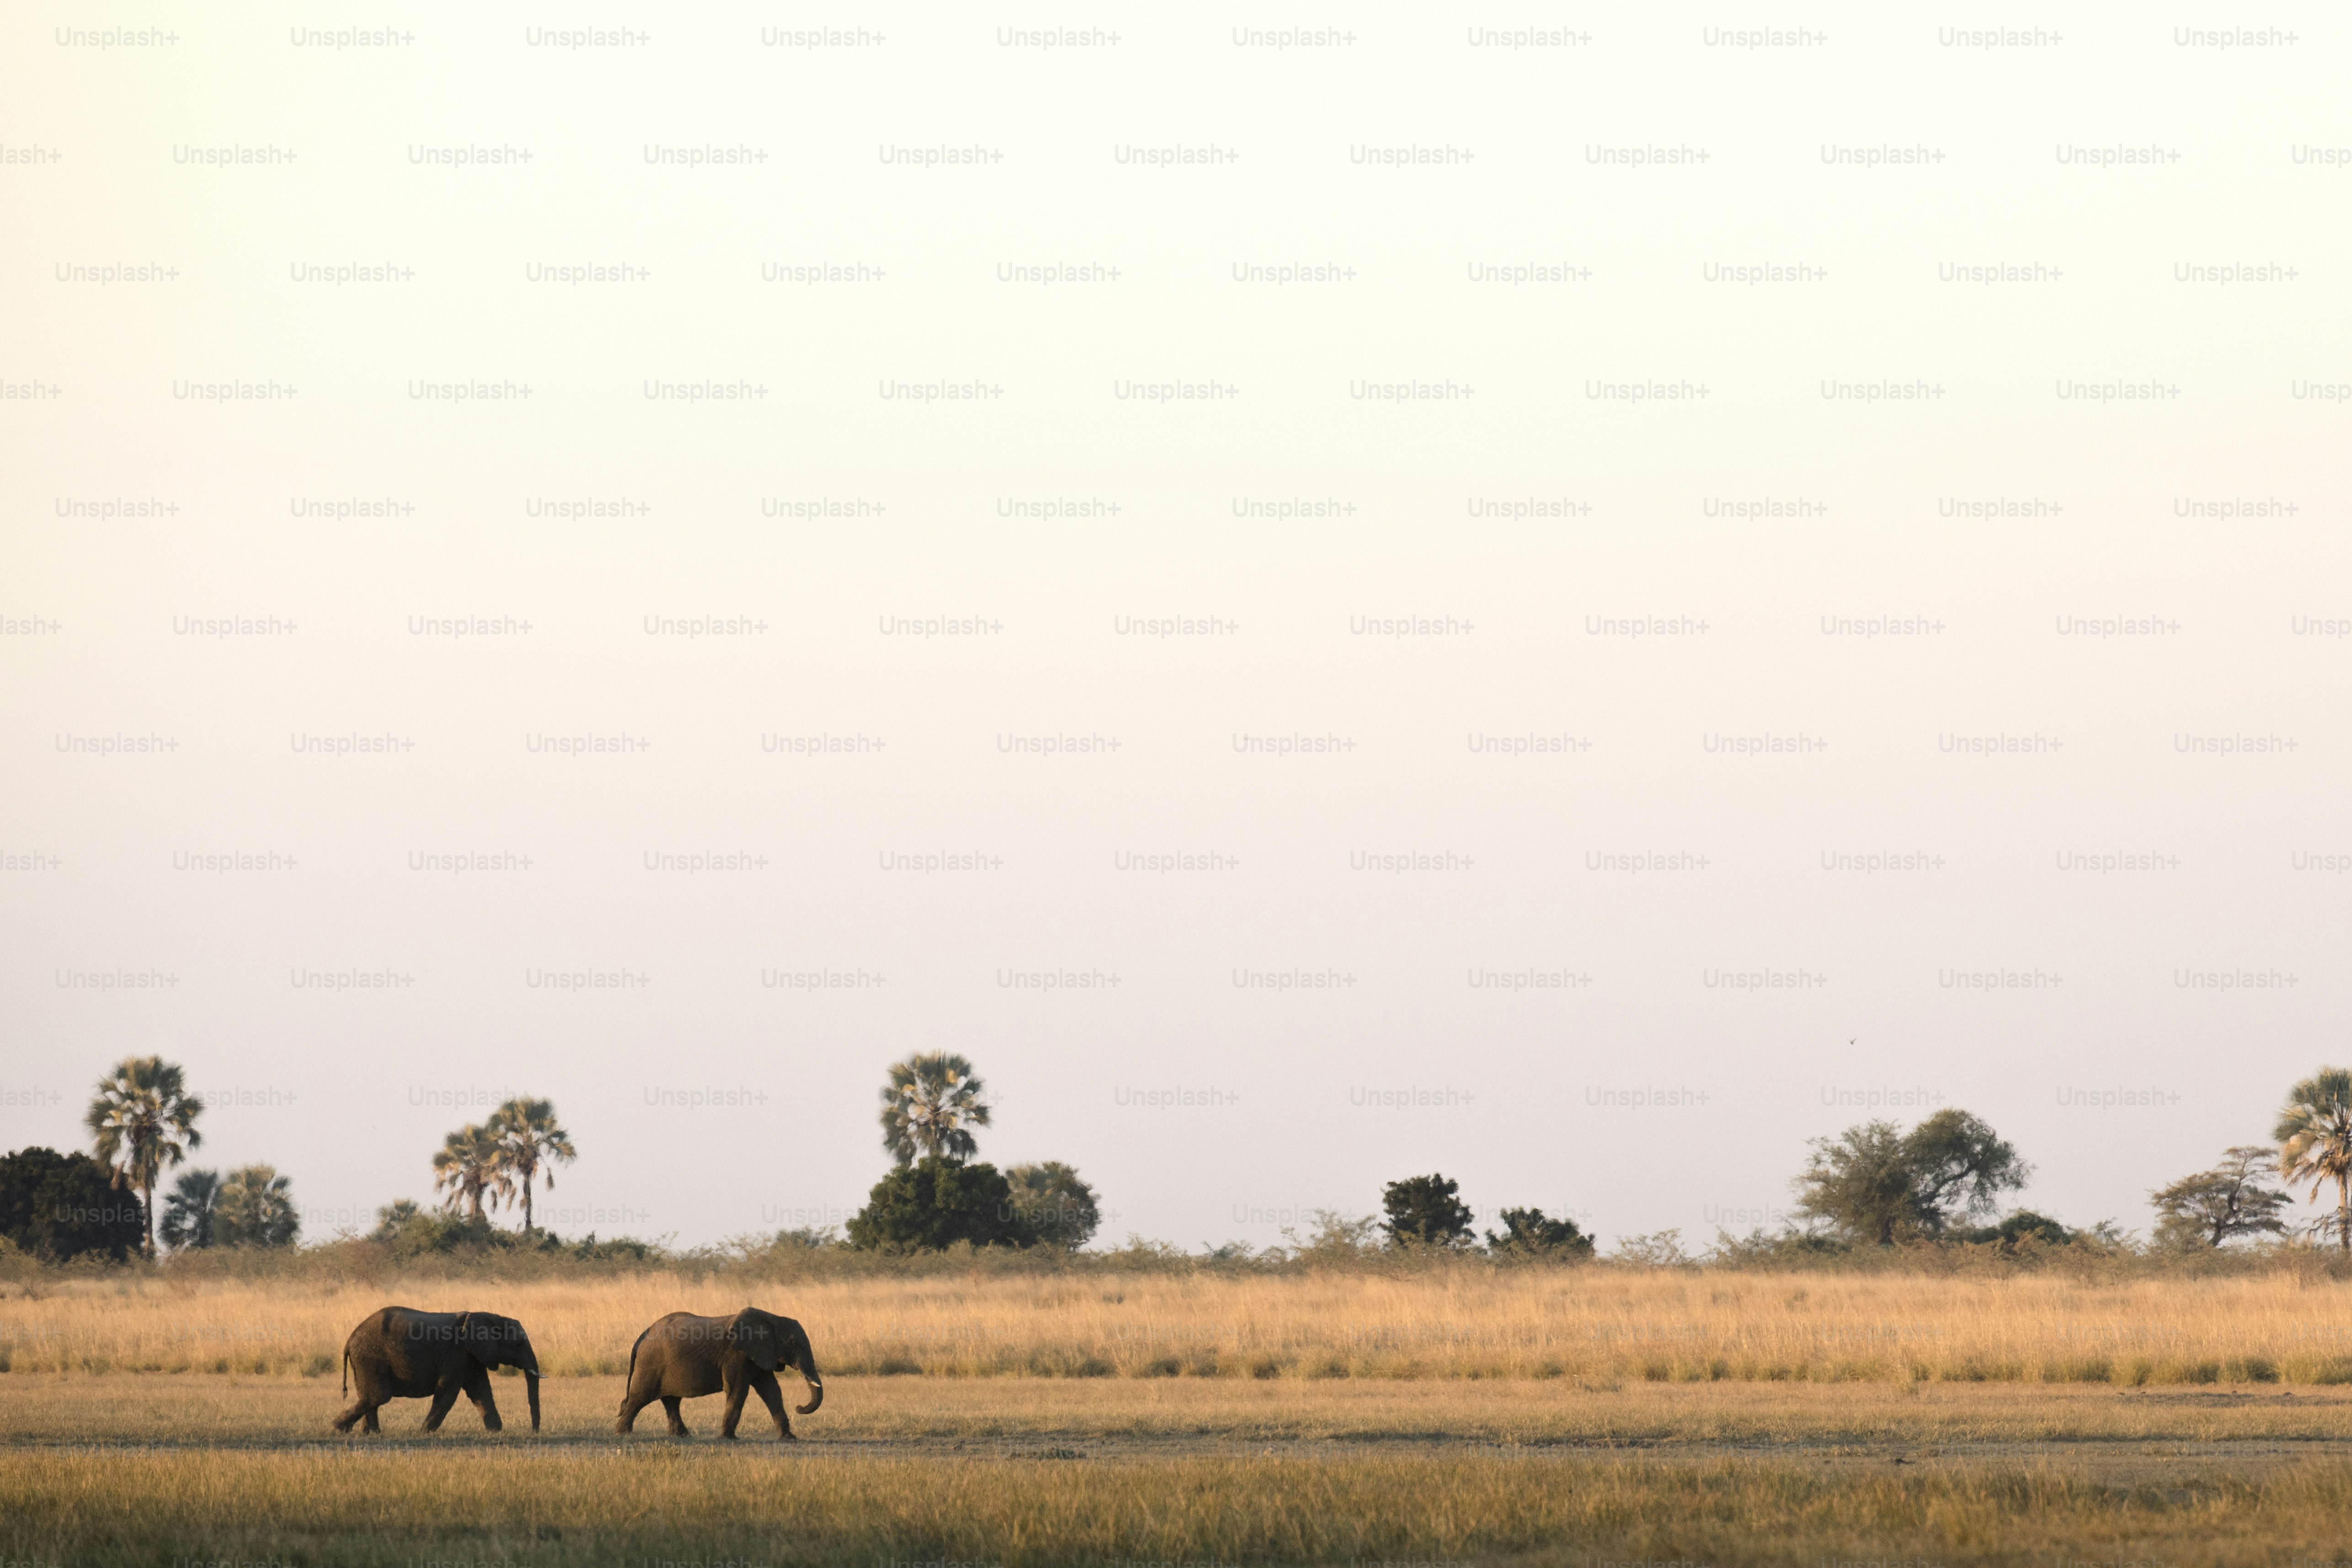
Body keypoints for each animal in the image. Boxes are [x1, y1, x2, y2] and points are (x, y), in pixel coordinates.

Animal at [333, 1306, 542, 1434]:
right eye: (519, 1343)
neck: (488, 1316)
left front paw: (496, 1431)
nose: (534, 1431)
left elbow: (480, 1390)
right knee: (378, 1396)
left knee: (369, 1396)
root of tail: (350, 1340)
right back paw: (339, 1428)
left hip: (364, 1361)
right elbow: (448, 1392)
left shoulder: (471, 1355)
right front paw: (425, 1431)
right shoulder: (455, 1353)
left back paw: (370, 1433)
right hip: (371, 1357)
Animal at [616, 1307, 822, 1440]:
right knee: (640, 1397)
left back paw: (682, 1435)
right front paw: (727, 1439)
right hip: (650, 1363)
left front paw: (789, 1438)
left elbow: (772, 1391)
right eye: (794, 1344)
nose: (799, 1407)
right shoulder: (736, 1354)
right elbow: (738, 1390)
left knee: (671, 1401)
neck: (772, 1318)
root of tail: (642, 1336)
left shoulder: (760, 1354)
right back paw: (623, 1433)